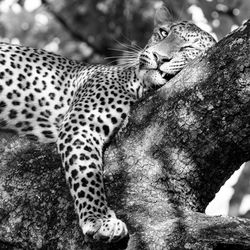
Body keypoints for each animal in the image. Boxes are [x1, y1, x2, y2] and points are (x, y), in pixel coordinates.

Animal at [0, 7, 215, 242]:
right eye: (163, 33)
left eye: (189, 48)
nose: (159, 57)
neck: (139, 84)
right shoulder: (81, 124)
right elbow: (86, 174)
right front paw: (99, 219)